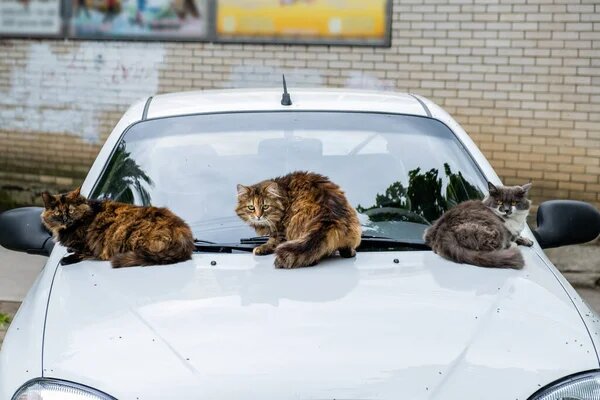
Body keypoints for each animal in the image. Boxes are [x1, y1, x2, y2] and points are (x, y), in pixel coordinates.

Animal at [40, 188, 195, 268]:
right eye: (57, 213)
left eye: (71, 210)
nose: (65, 219)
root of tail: (183, 232)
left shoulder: (89, 246)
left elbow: (80, 253)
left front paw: (67, 258)